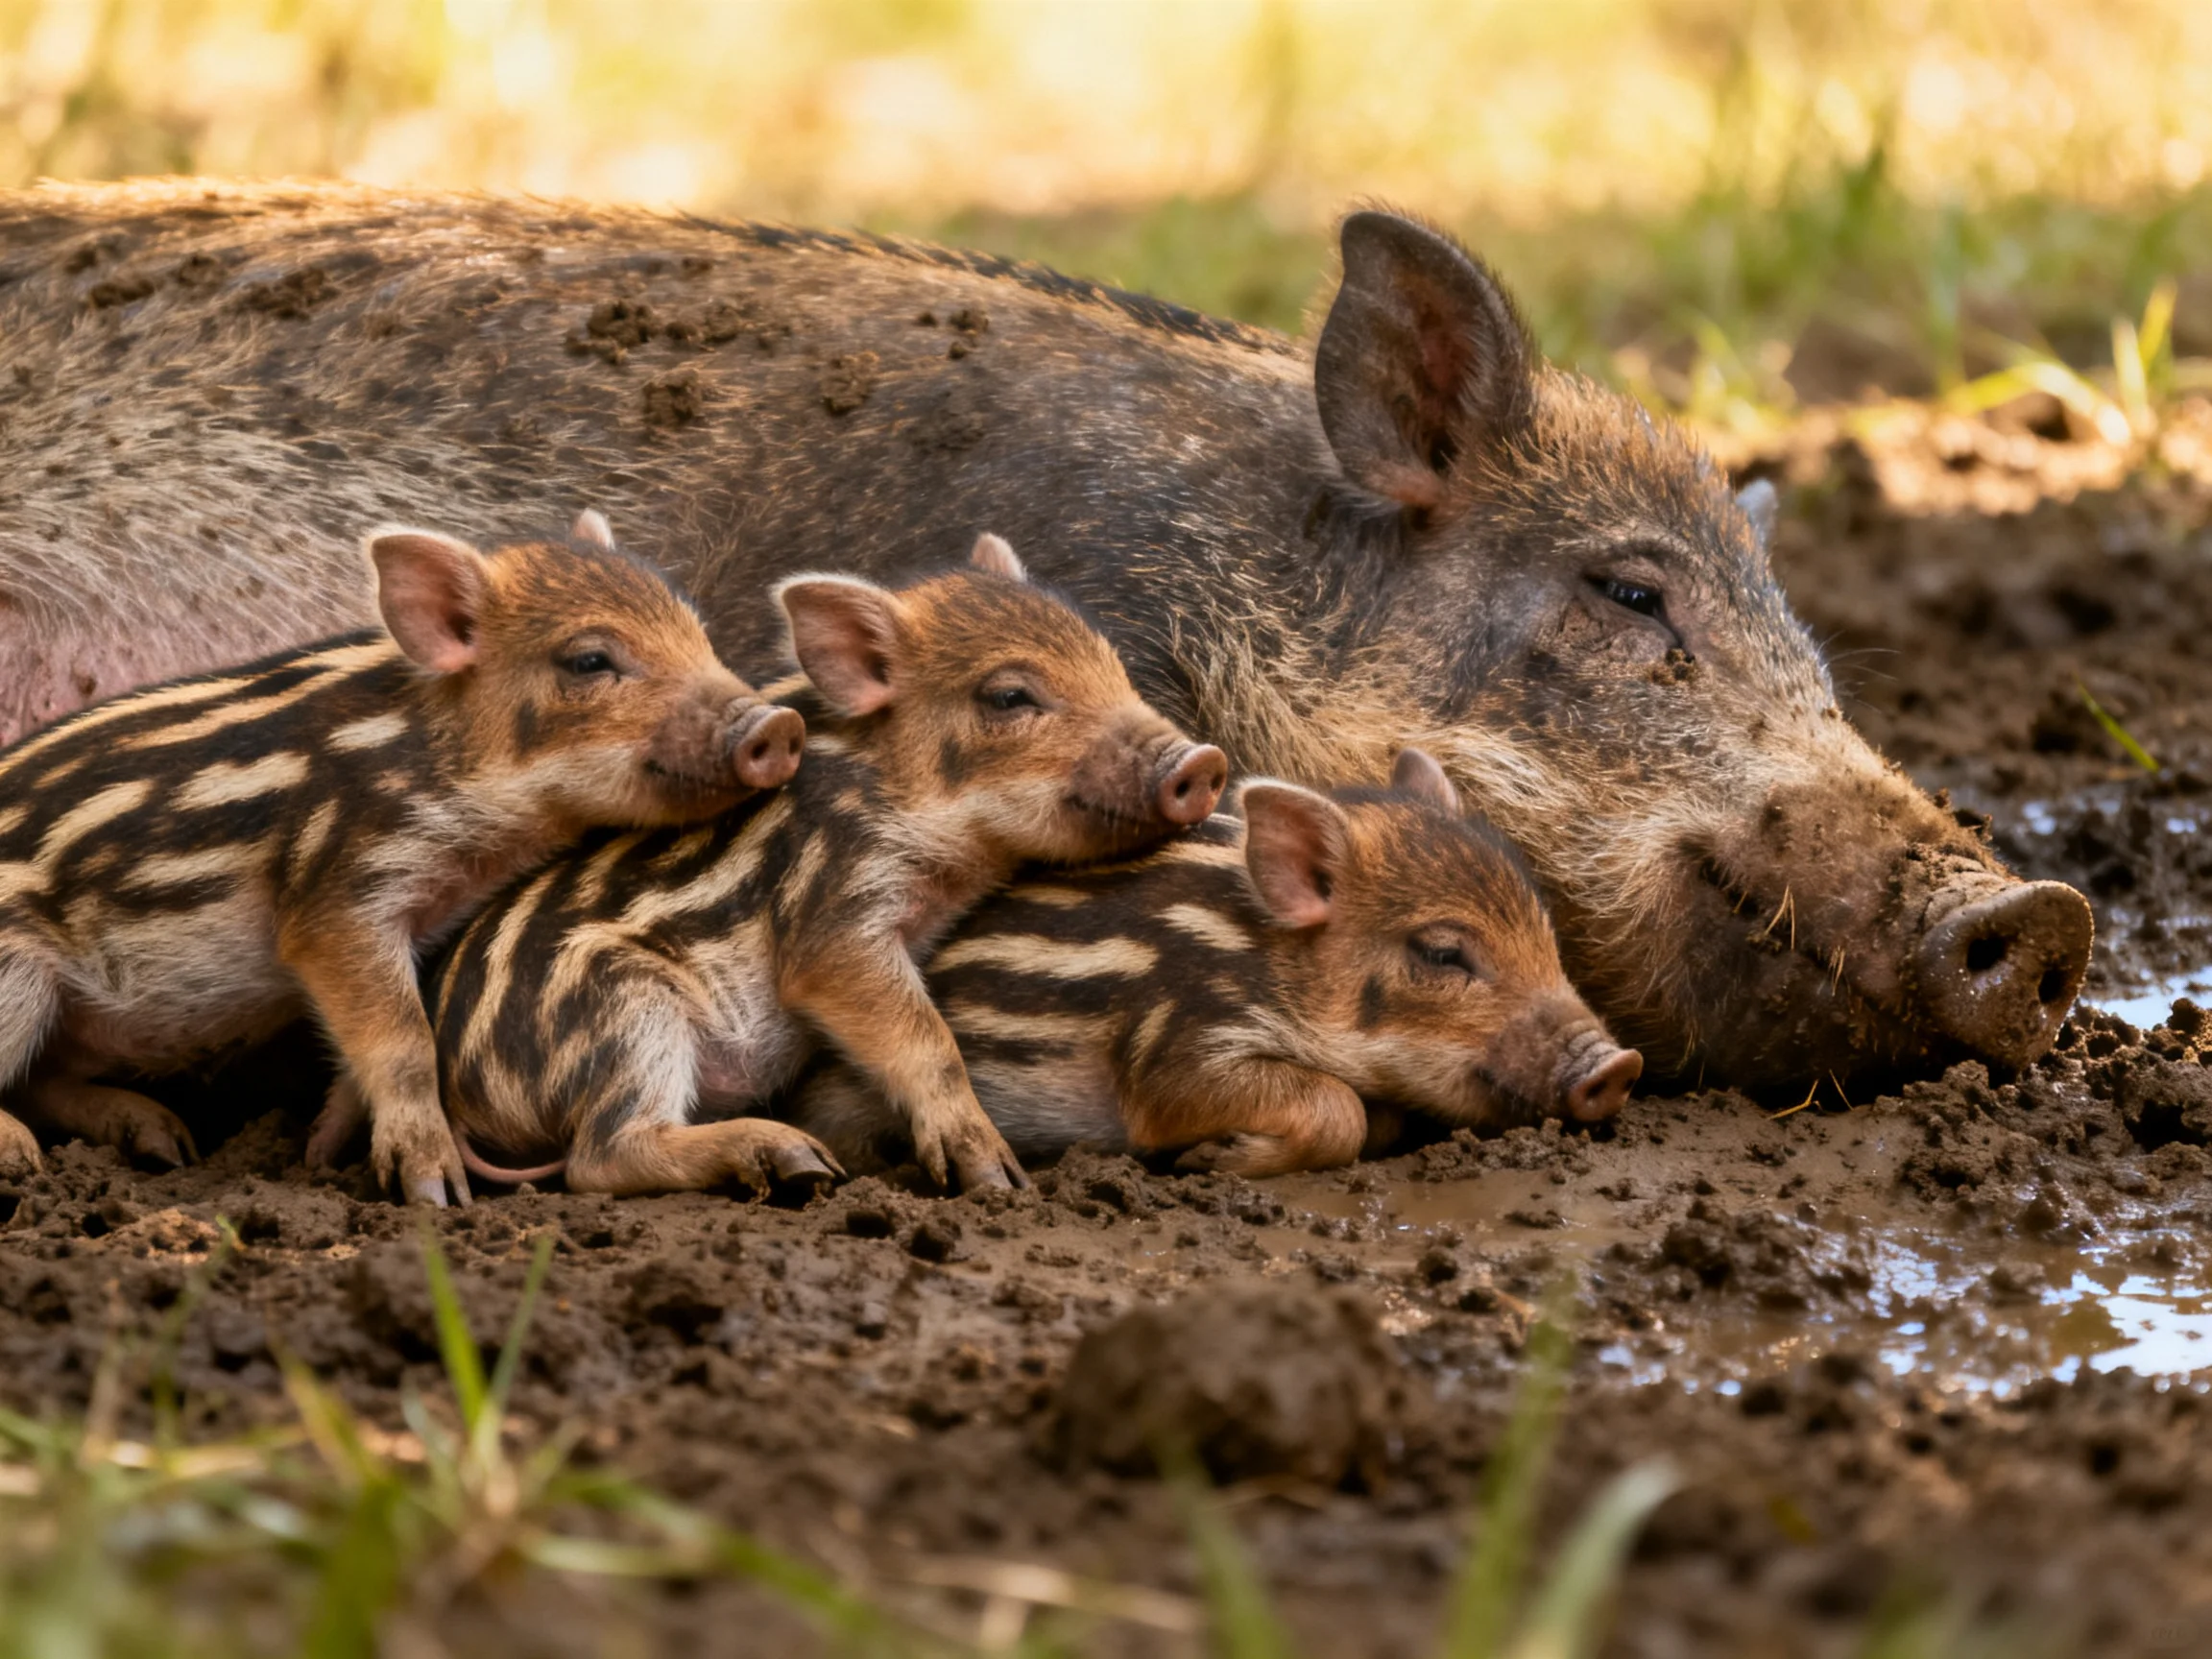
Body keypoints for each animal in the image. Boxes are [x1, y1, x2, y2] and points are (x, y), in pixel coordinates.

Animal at [0, 511, 801, 1203]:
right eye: (590, 659)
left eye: (696, 633)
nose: (779, 723)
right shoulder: (340, 897)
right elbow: (405, 1040)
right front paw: (433, 1192)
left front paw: (321, 1154)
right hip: (18, 975)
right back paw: (25, 1157)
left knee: (48, 1080)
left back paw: (162, 1139)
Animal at [427, 534, 1226, 1196]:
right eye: (1009, 696)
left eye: (1110, 665)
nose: (1205, 761)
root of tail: (464, 1093)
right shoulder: (839, 913)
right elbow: (925, 1038)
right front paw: (996, 1178)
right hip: (622, 1007)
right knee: (602, 1158)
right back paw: (797, 1159)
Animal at [793, 748, 1641, 1177]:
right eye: (1442, 952)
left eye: (1545, 932)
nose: (1619, 1065)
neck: (1267, 961)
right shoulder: (1180, 1044)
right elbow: (1338, 1108)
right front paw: (1211, 1160)